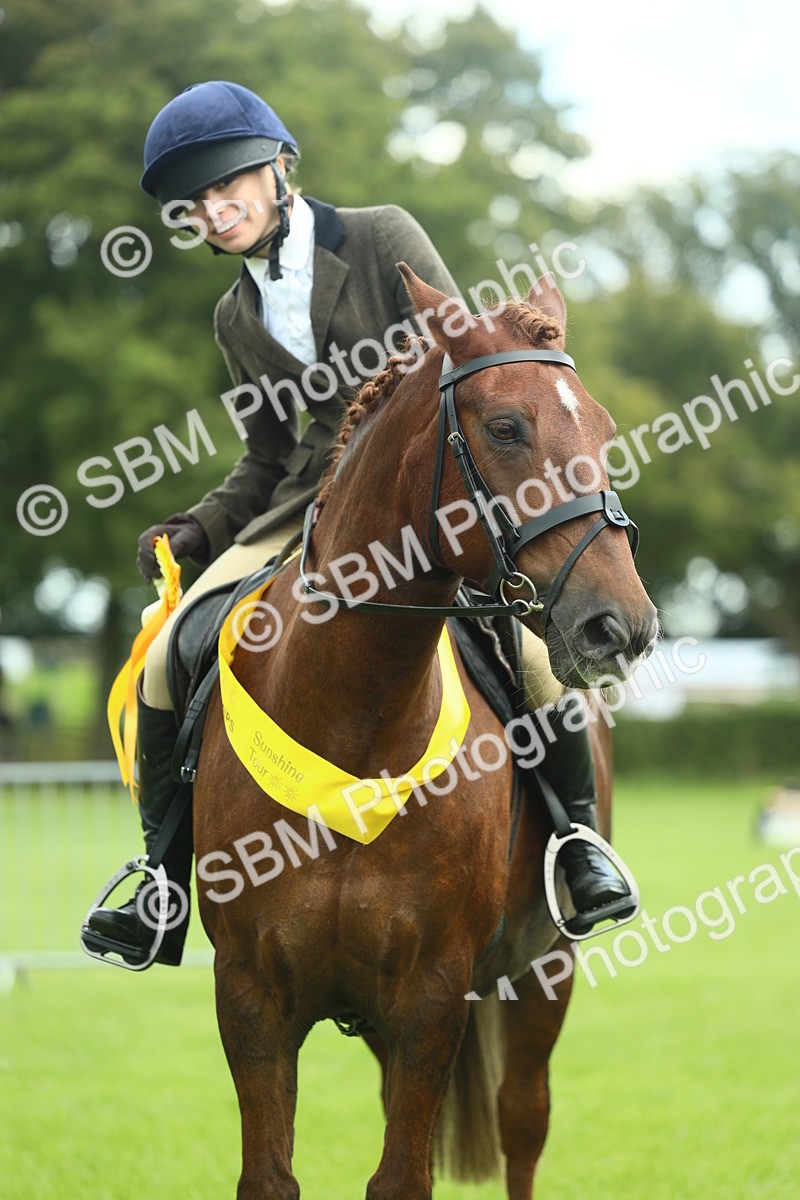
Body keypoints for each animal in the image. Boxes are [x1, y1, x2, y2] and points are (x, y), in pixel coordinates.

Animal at [193, 265, 658, 1200]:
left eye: (601, 428)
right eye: (507, 428)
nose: (620, 627)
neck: (355, 718)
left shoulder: (432, 995)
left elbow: (404, 1176)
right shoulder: (252, 994)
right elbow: (271, 1175)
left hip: (543, 976)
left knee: (523, 1123)